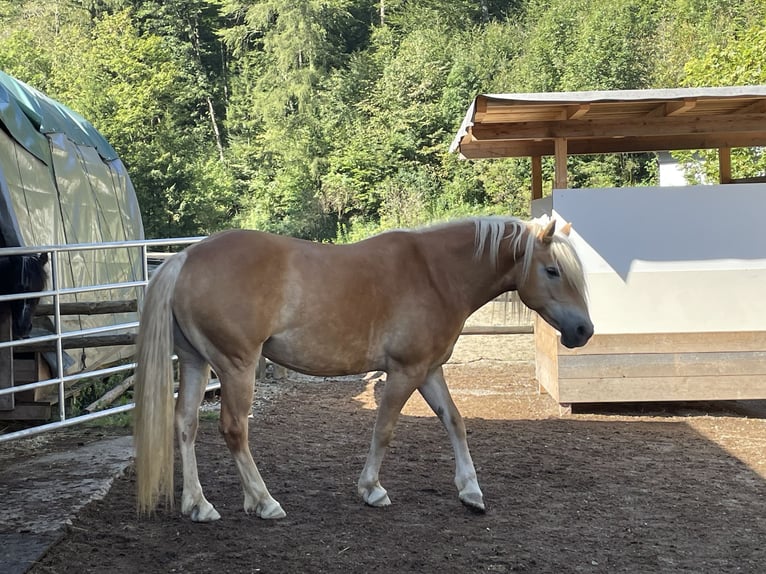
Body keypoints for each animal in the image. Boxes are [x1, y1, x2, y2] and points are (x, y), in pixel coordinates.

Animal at [135, 216, 596, 520]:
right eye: (553, 270)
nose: (584, 330)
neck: (436, 273)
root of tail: (185, 258)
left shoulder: (429, 371)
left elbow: (455, 421)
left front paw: (470, 490)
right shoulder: (405, 371)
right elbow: (385, 428)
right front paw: (371, 489)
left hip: (196, 362)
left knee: (186, 424)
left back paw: (199, 504)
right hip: (236, 366)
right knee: (233, 429)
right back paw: (264, 501)